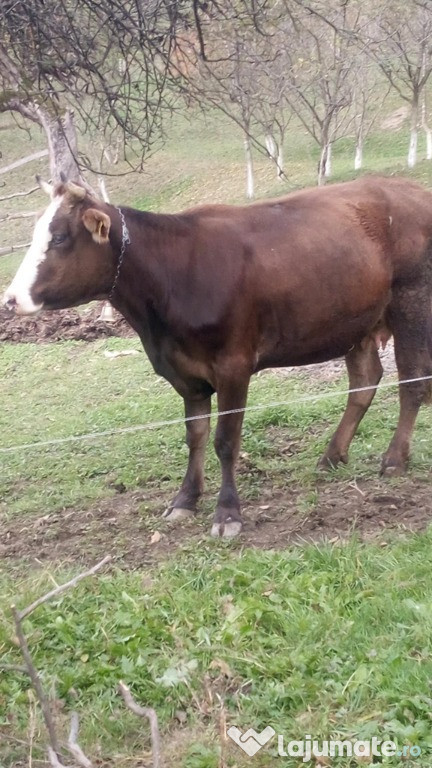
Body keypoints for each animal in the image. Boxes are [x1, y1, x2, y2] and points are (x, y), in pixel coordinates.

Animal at [3, 176, 432, 536]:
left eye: (59, 237)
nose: (10, 299)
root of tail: (410, 187)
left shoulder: (233, 364)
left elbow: (226, 440)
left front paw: (227, 514)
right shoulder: (184, 372)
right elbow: (195, 436)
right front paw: (185, 500)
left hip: (412, 300)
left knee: (411, 382)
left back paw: (394, 459)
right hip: (356, 318)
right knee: (365, 381)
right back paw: (331, 455)